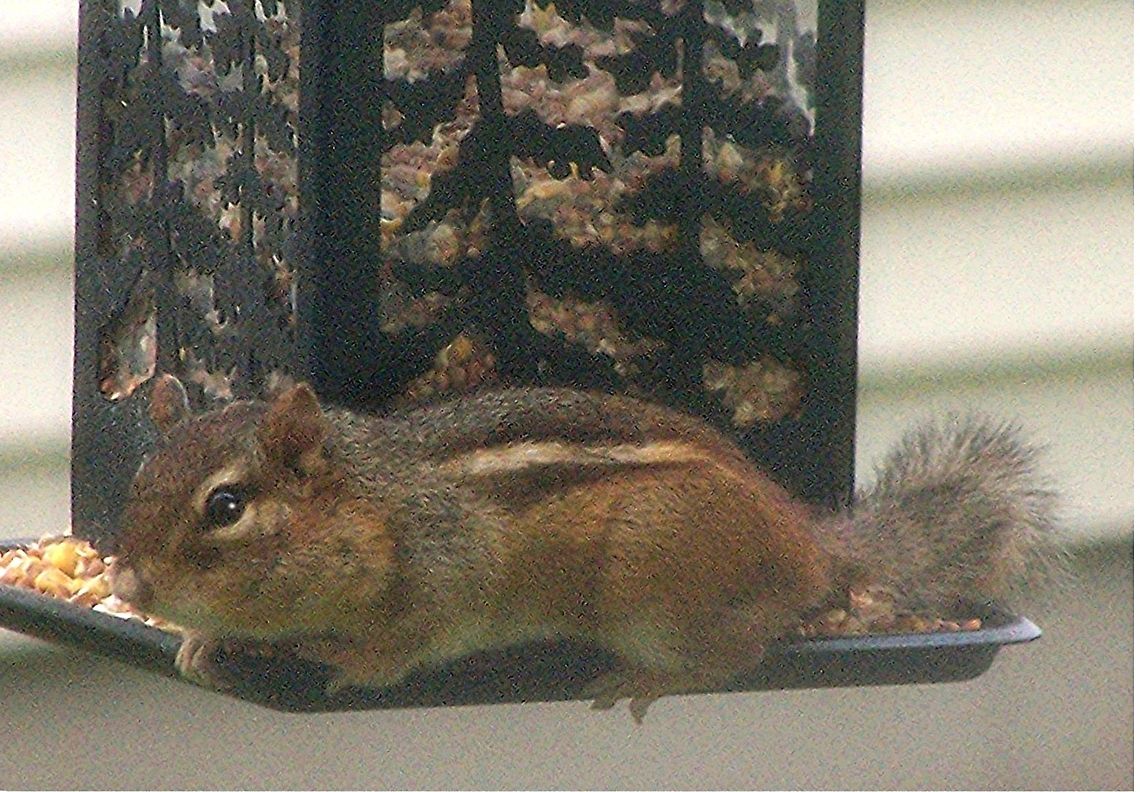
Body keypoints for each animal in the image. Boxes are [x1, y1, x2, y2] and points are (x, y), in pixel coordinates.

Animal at [108, 374, 1058, 721]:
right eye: (138, 477)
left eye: (226, 506)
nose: (132, 583)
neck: (370, 501)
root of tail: (807, 547)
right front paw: (202, 641)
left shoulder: (450, 569)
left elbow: (415, 638)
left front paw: (353, 659)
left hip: (650, 587)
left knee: (739, 652)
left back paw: (651, 678)